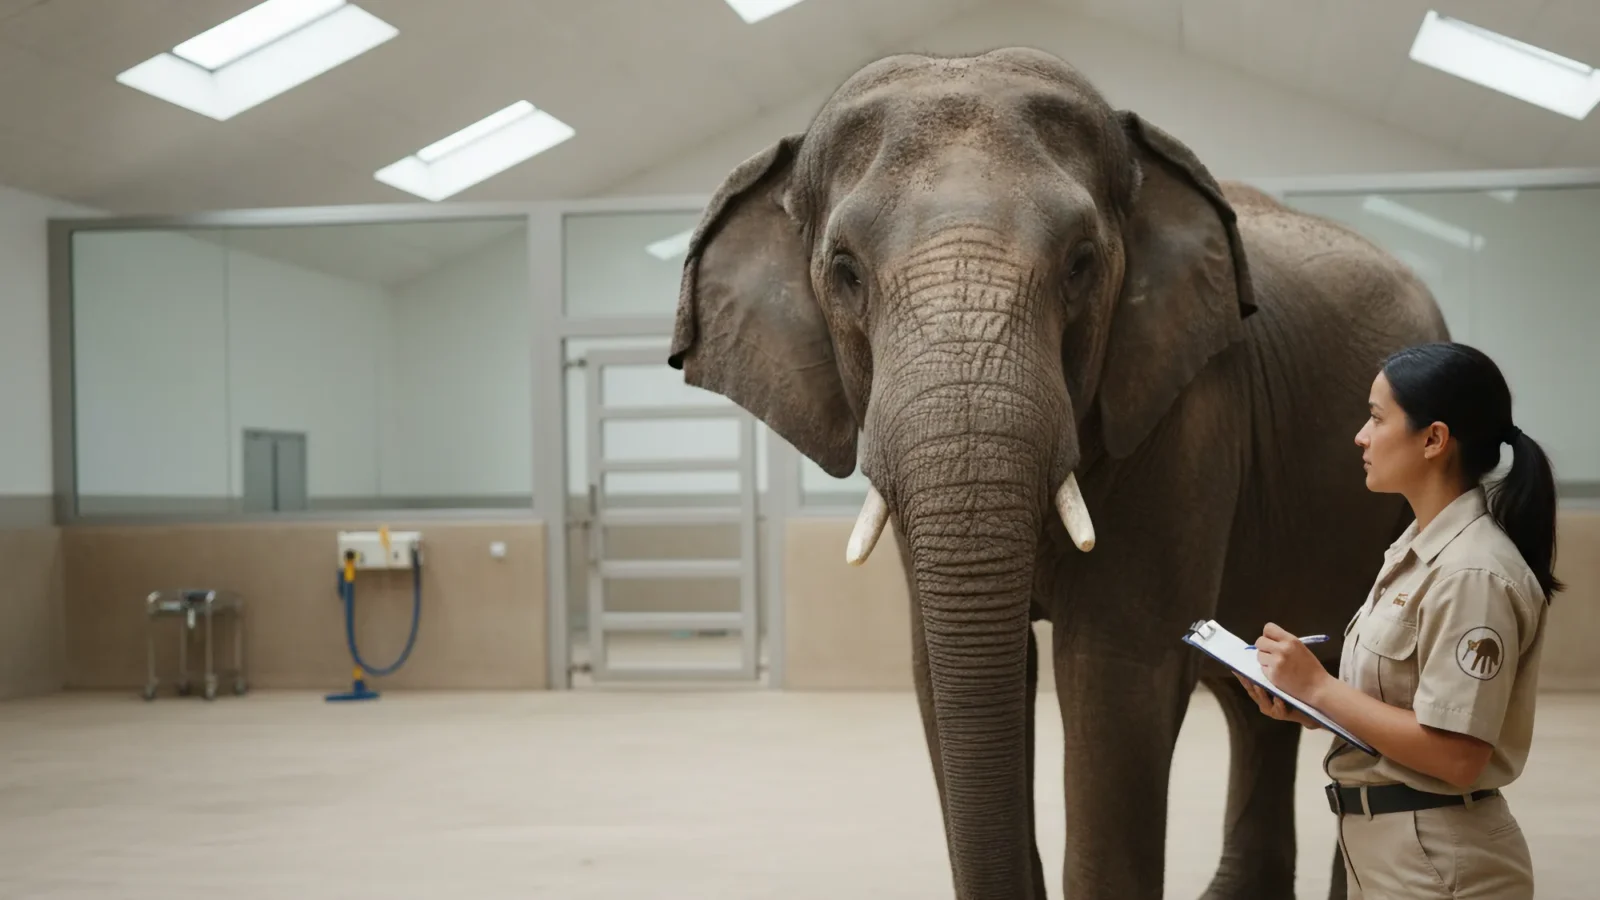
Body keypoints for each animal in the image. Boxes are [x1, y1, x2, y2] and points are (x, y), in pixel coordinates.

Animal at [667, 47, 1449, 900]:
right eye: (843, 272)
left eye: (1081, 264)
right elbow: (946, 675)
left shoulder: (1187, 408)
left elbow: (1116, 672)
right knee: (1256, 694)